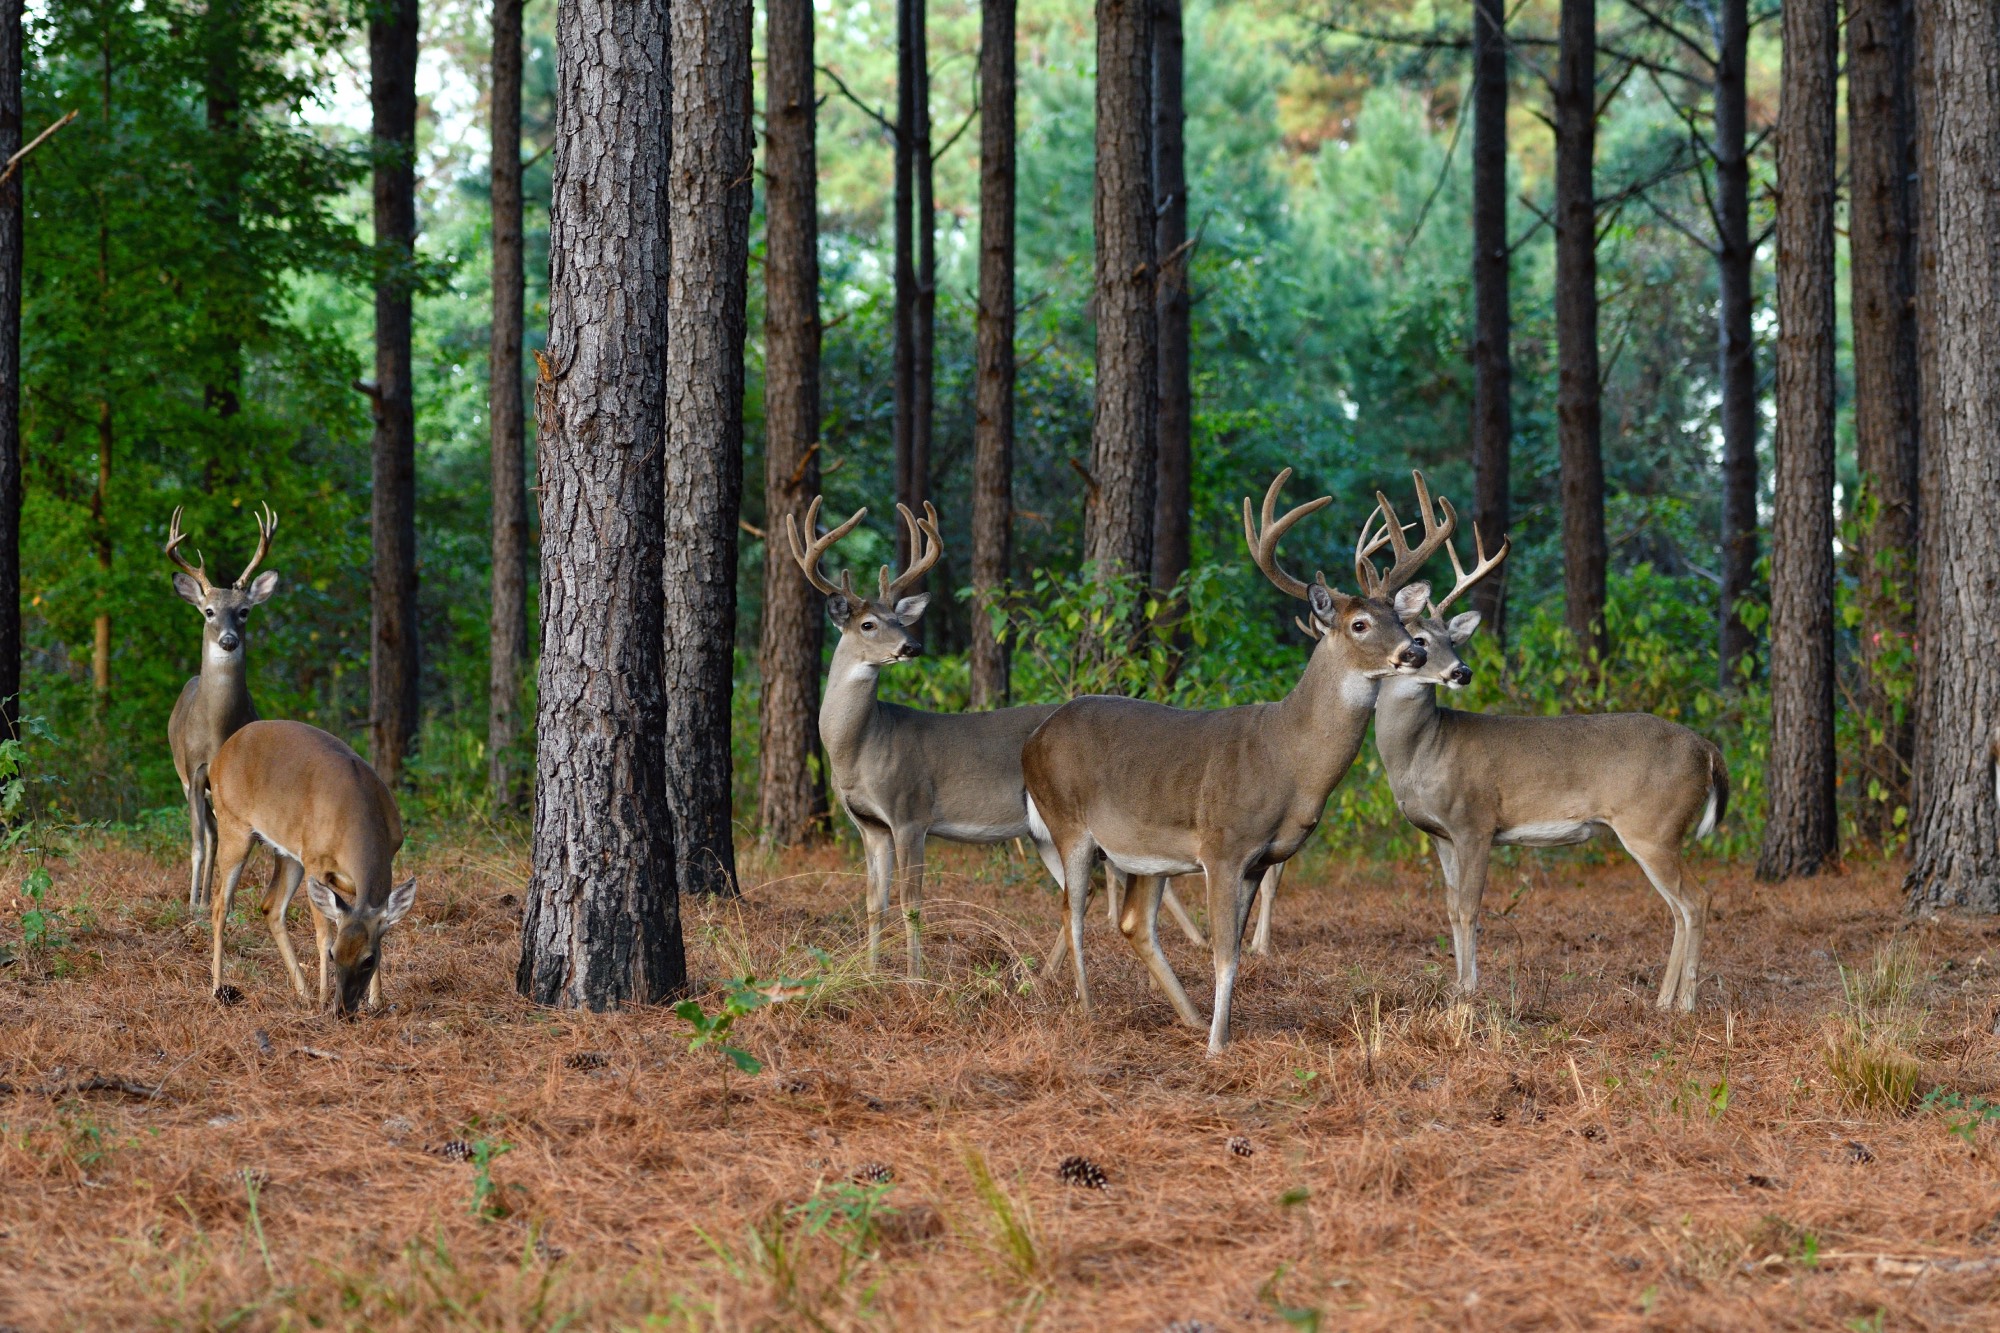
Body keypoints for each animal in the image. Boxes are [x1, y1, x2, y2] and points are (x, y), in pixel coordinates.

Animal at [167, 504, 280, 908]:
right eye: (209, 612)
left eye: (244, 611)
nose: (229, 640)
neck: (217, 730)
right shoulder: (194, 769)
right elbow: (198, 844)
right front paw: (192, 903)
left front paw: (223, 903)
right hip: (185, 778)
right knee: (208, 835)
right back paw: (198, 899)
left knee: (218, 834)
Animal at [205, 716, 412, 1008]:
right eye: (335, 955)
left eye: (369, 959)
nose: (344, 1006)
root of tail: (219, 757)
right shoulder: (316, 862)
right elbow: (323, 934)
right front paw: (325, 999)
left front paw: (377, 1002)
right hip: (233, 826)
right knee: (220, 905)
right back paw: (219, 988)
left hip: (288, 854)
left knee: (271, 906)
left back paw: (303, 992)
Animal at [784, 492, 1200, 972]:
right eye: (868, 624)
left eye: (900, 620)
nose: (912, 646)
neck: (861, 746)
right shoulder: (870, 825)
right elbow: (874, 902)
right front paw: (869, 973)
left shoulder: (910, 811)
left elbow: (912, 903)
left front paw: (914, 977)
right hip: (1042, 831)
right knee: (1085, 888)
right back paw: (1045, 976)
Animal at [1024, 472, 1432, 1056]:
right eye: (1359, 623)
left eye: (1400, 617)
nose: (1414, 653)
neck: (1288, 759)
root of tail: (1033, 739)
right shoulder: (1222, 846)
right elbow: (1223, 955)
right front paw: (1219, 1048)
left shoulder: (1259, 858)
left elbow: (1234, 952)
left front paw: (1223, 1032)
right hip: (1068, 821)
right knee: (1072, 911)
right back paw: (1088, 1009)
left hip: (1147, 852)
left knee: (1133, 923)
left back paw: (1189, 1018)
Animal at [1368, 482, 1728, 1012]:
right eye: (1418, 638)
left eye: (1451, 641)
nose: (1461, 671)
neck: (1422, 752)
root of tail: (1706, 748)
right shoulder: (1441, 835)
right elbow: (1450, 909)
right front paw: (1455, 986)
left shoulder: (1475, 822)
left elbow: (1471, 908)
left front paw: (1468, 994)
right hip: (1658, 831)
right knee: (1681, 907)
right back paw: (1663, 1001)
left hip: (1654, 826)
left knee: (1696, 900)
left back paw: (1683, 1004)